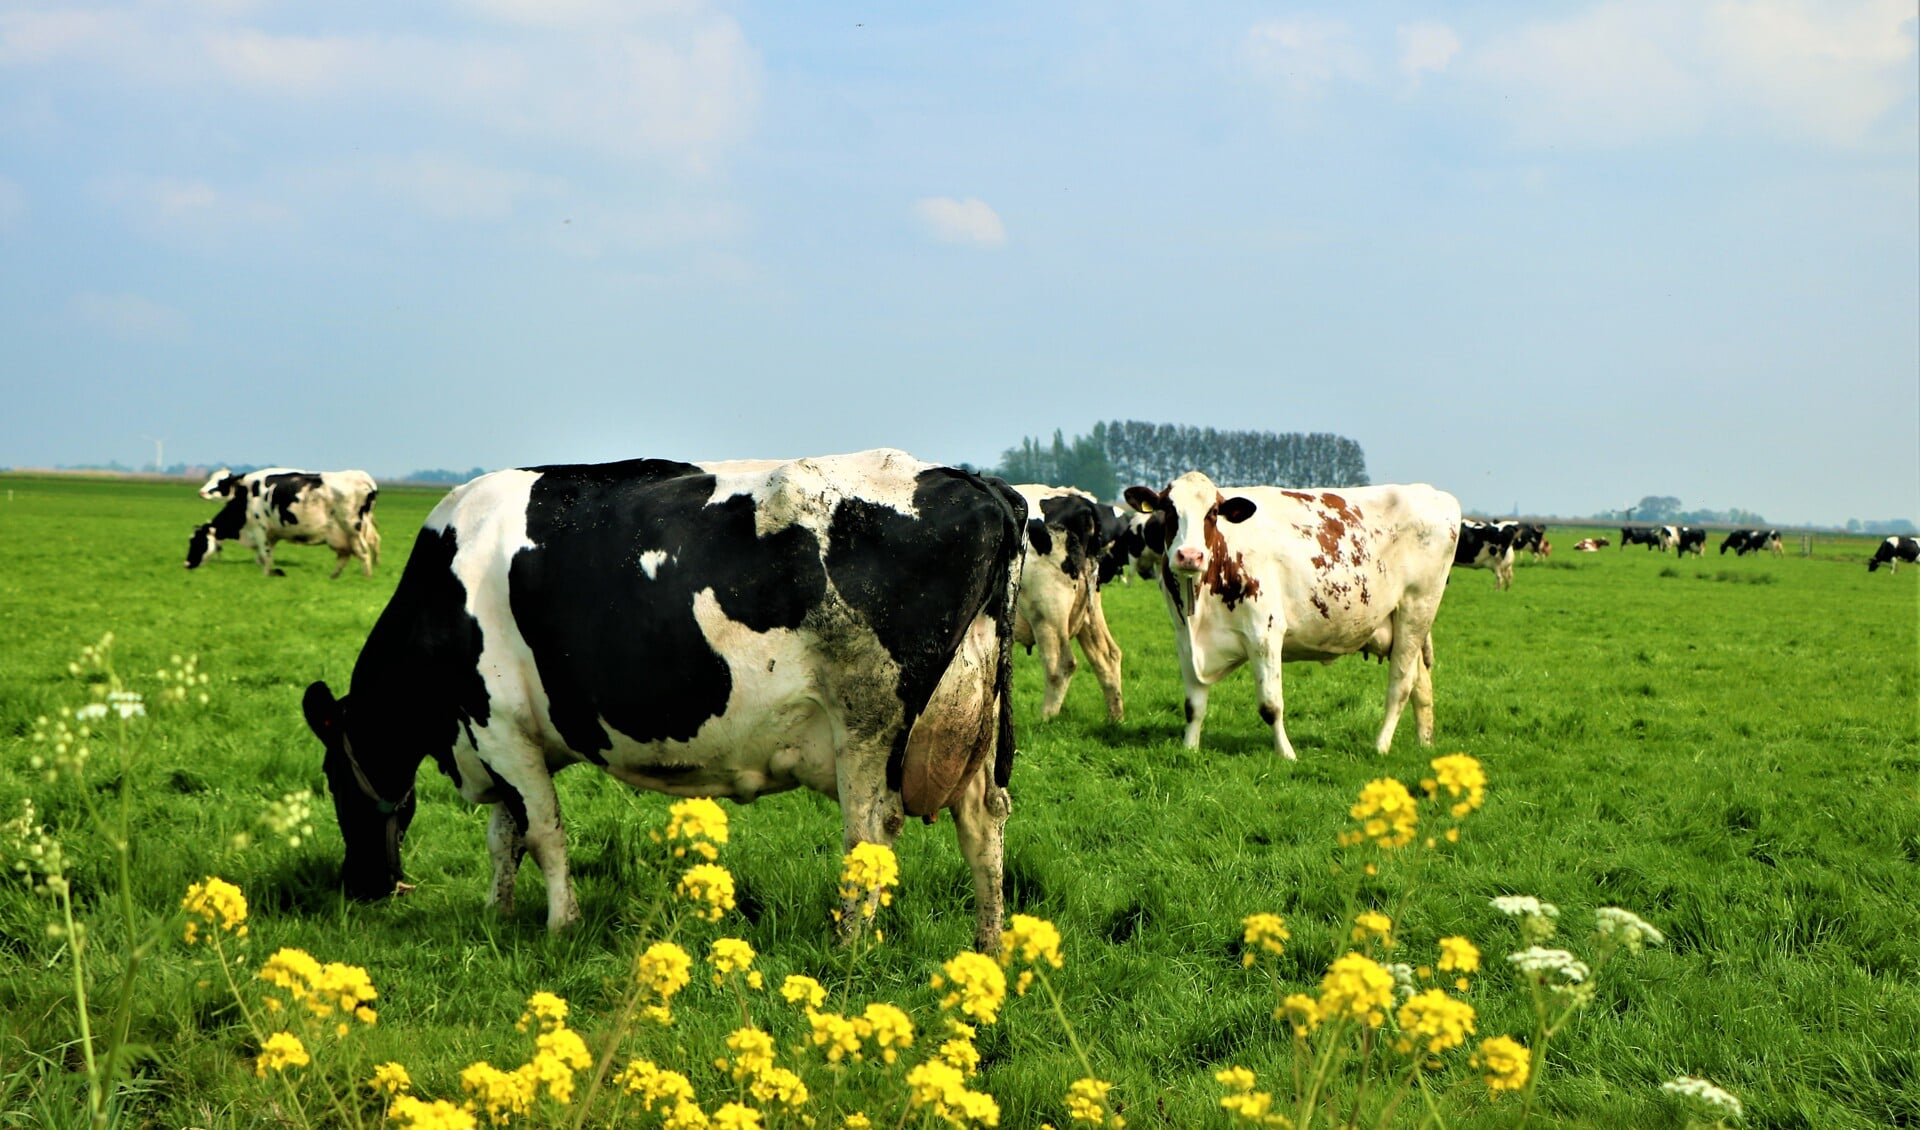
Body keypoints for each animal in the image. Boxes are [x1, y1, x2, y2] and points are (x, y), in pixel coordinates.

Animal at [184, 466, 382, 575]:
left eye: (197, 542)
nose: (186, 564)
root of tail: (365, 479)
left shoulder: (259, 529)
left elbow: (264, 556)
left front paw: (269, 574)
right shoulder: (272, 535)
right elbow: (263, 558)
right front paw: (274, 572)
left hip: (353, 528)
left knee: (364, 552)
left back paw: (367, 577)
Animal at [299, 448, 1029, 951]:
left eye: (333, 780)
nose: (363, 886)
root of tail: (977, 483)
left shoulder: (497, 724)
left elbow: (543, 832)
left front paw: (560, 925)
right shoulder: (503, 737)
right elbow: (505, 835)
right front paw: (497, 915)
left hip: (868, 727)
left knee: (871, 833)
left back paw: (851, 945)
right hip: (970, 724)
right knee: (983, 825)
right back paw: (987, 945)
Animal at [1006, 479, 1121, 717]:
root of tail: (1077, 498)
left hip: (1047, 610)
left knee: (1061, 665)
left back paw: (1045, 719)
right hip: (1088, 608)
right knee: (1109, 656)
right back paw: (1116, 719)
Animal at [1121, 471, 1451, 763]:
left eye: (1212, 512)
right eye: (1168, 508)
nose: (1189, 556)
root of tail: (1432, 493)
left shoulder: (1264, 634)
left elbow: (1270, 706)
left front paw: (1287, 754)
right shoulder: (1184, 639)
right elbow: (1193, 705)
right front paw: (1189, 749)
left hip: (1417, 610)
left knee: (1400, 685)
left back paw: (1381, 746)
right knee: (1421, 683)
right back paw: (1424, 743)